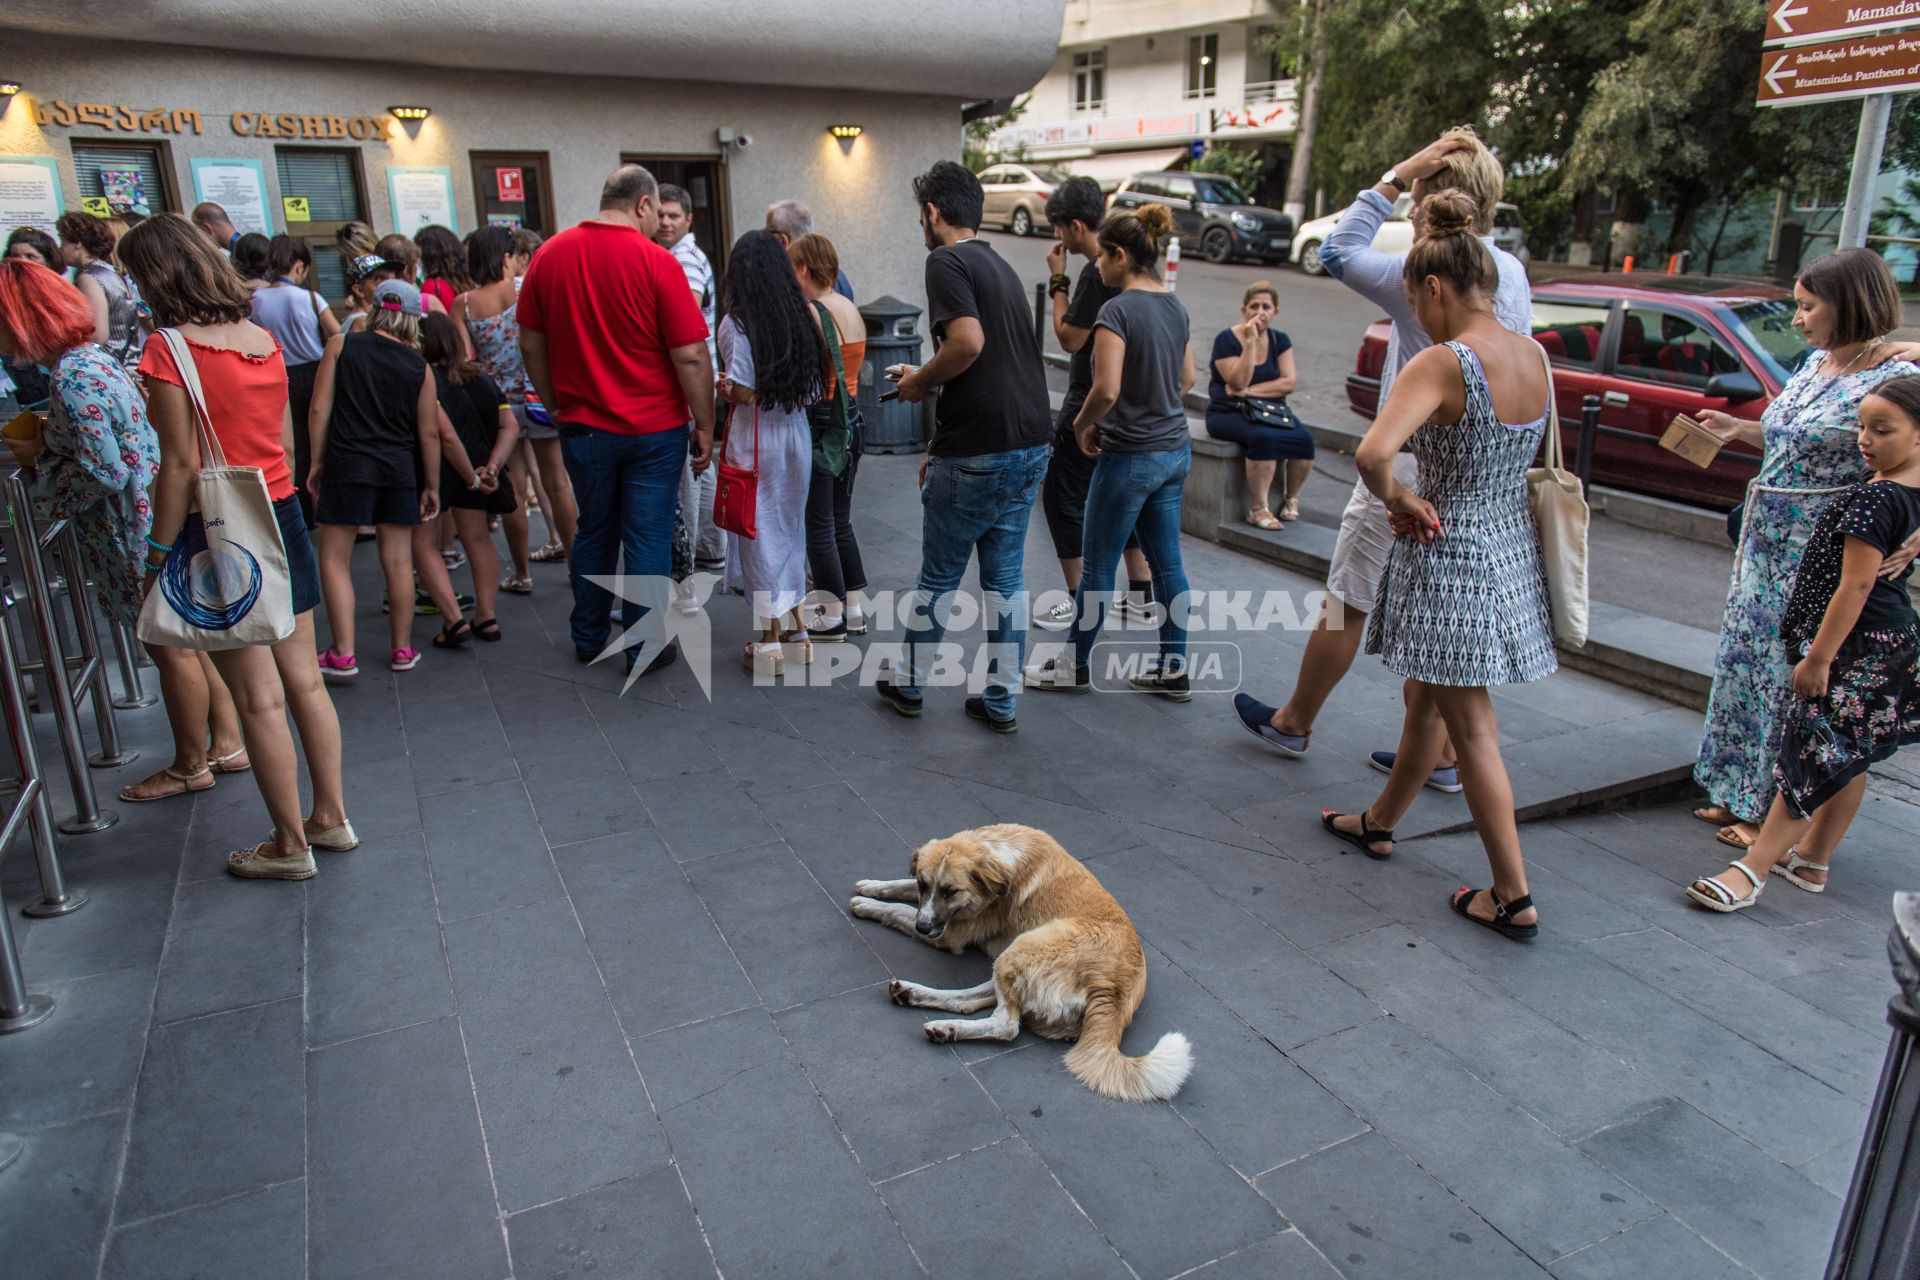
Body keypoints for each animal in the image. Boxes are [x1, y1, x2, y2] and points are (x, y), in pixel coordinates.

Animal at [852, 825, 1190, 1105]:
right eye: (924, 884)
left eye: (950, 892)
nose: (923, 928)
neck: (996, 854)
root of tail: (1114, 989)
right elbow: (902, 887)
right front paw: (873, 886)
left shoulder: (949, 933)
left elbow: (899, 910)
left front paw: (869, 905)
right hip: (1014, 958)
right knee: (970, 1000)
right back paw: (920, 1002)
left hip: (1021, 951)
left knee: (1005, 1025)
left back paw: (945, 1024)